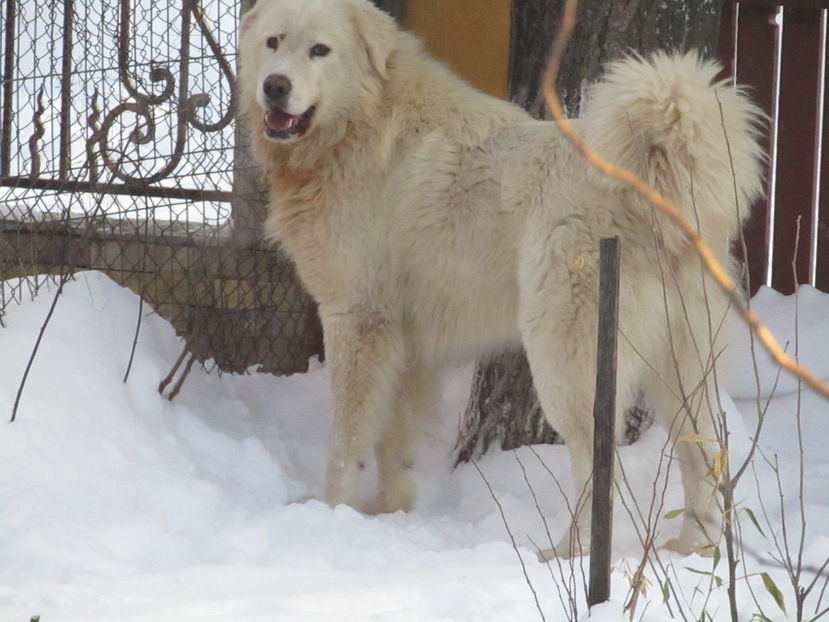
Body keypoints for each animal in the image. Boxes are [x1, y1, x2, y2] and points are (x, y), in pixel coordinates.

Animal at [236, 0, 760, 560]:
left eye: (320, 50)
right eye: (273, 42)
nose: (274, 86)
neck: (361, 124)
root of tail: (649, 182)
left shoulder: (357, 321)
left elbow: (347, 437)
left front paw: (330, 510)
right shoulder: (403, 341)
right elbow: (393, 439)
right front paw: (388, 512)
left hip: (567, 360)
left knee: (603, 464)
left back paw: (568, 554)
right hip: (681, 366)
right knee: (704, 453)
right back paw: (693, 548)